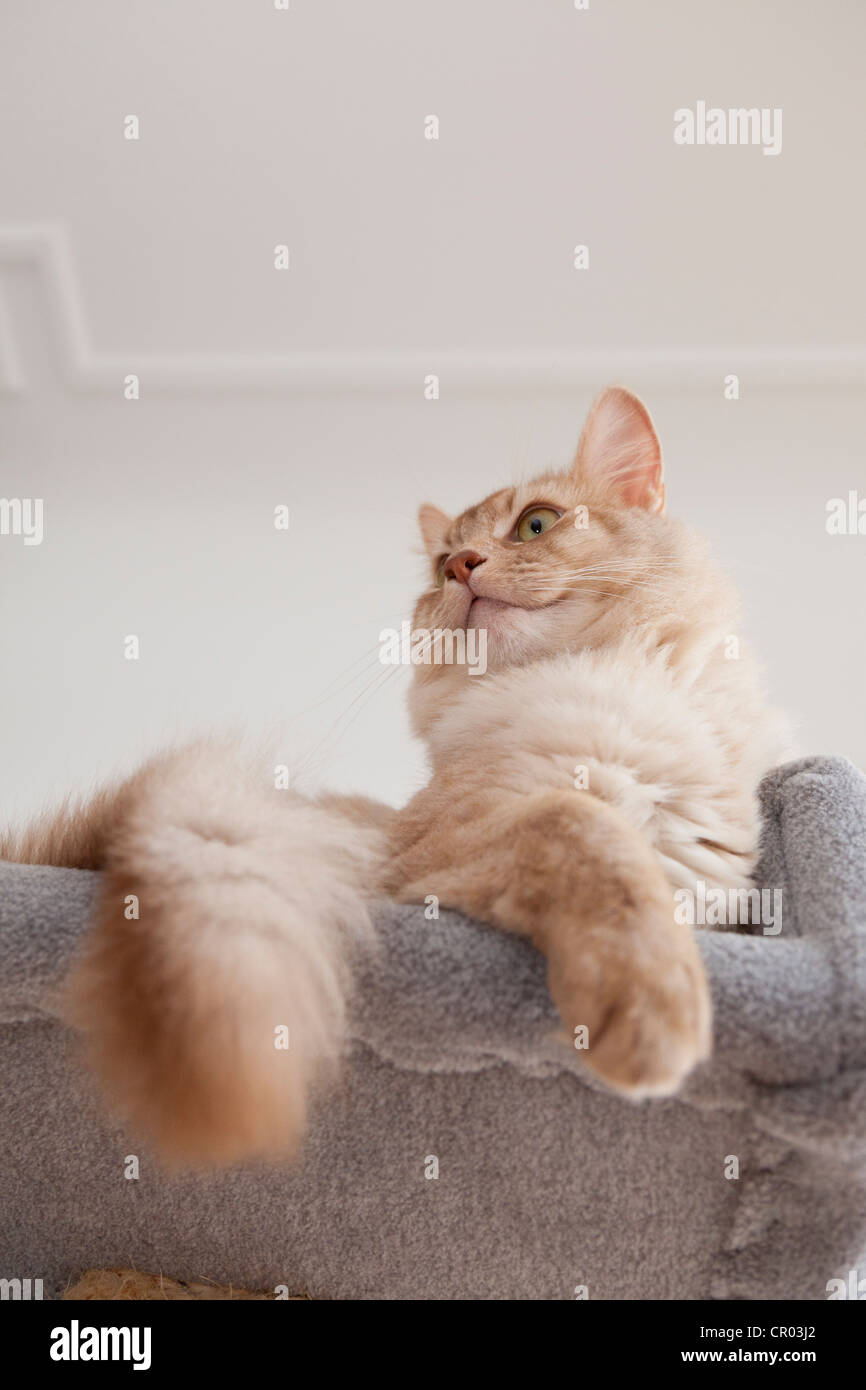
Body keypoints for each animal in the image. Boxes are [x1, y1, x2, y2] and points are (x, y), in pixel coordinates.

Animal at [1, 389, 795, 1162]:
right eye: (441, 565)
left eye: (534, 525)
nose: (464, 565)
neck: (605, 684)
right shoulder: (435, 847)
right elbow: (589, 836)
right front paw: (650, 1011)